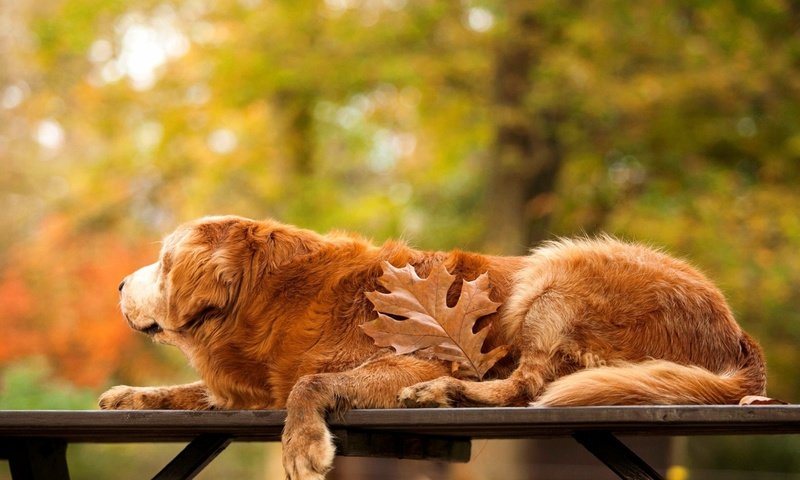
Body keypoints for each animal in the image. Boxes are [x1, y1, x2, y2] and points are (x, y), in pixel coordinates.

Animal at [101, 216, 768, 478]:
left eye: (162, 263)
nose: (118, 285)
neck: (272, 296)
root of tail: (737, 333)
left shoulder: (411, 356)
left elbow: (309, 384)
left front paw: (303, 444)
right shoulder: (251, 388)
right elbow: (190, 391)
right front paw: (129, 396)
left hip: (555, 271)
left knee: (526, 386)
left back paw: (443, 392)